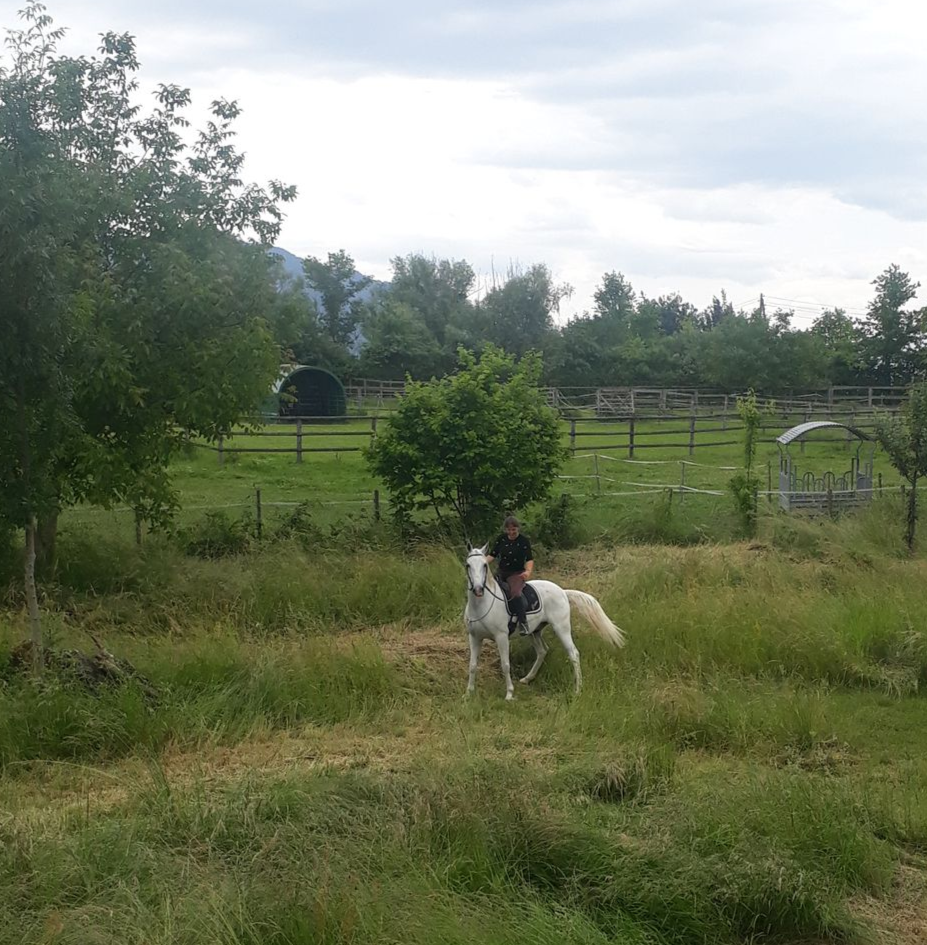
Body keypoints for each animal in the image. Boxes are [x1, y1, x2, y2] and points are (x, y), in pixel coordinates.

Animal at [464, 544, 625, 700]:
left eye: (484, 565)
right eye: (468, 565)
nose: (478, 589)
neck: (483, 605)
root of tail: (563, 592)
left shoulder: (501, 637)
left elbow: (505, 665)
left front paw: (509, 694)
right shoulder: (474, 637)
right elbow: (472, 665)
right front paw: (469, 692)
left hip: (561, 628)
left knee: (573, 654)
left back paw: (578, 689)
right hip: (534, 631)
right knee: (542, 651)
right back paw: (527, 678)